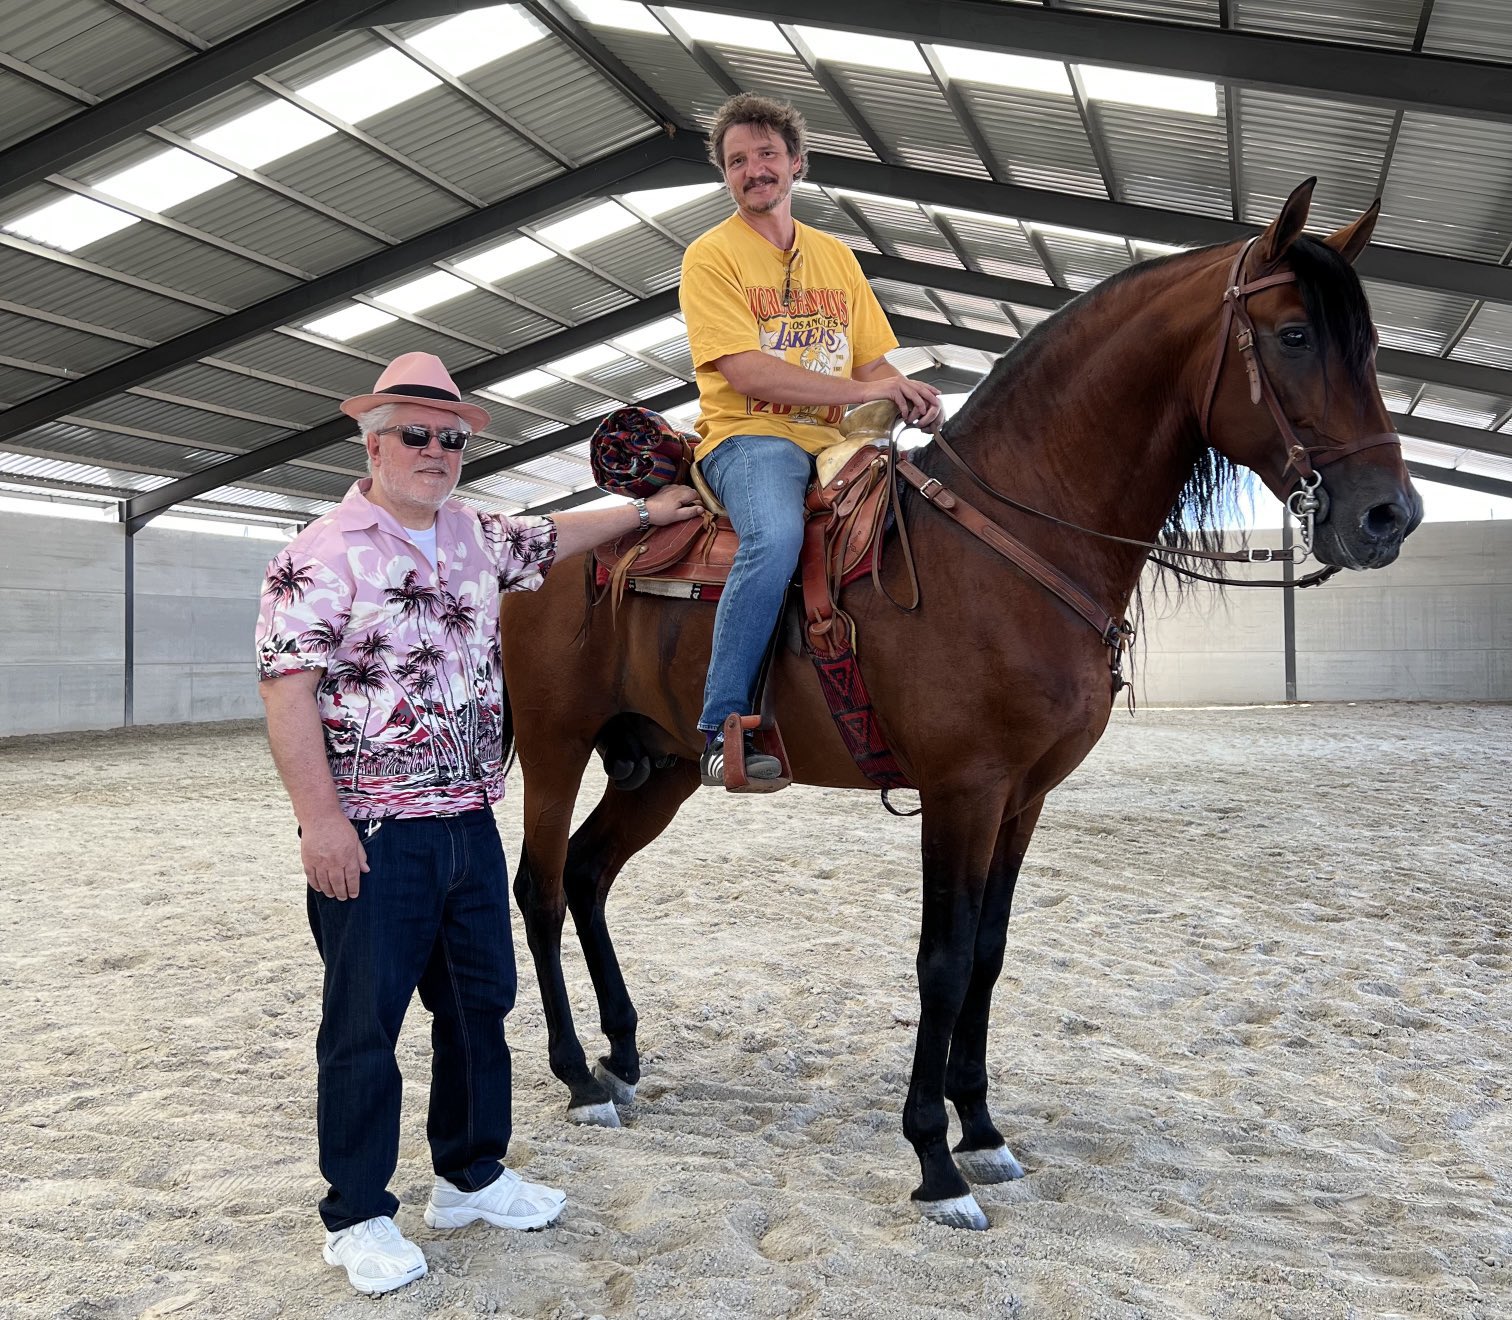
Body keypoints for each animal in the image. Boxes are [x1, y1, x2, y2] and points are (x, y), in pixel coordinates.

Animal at [495, 179, 1415, 1233]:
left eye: (1370, 344)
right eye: (1296, 334)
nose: (1389, 516)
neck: (1008, 541)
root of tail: (538, 541)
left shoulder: (1023, 797)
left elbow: (987, 952)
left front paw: (983, 1130)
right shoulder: (961, 791)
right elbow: (939, 959)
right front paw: (936, 1162)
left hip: (660, 767)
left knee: (590, 874)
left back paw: (623, 1054)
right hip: (559, 746)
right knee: (541, 887)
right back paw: (578, 1077)